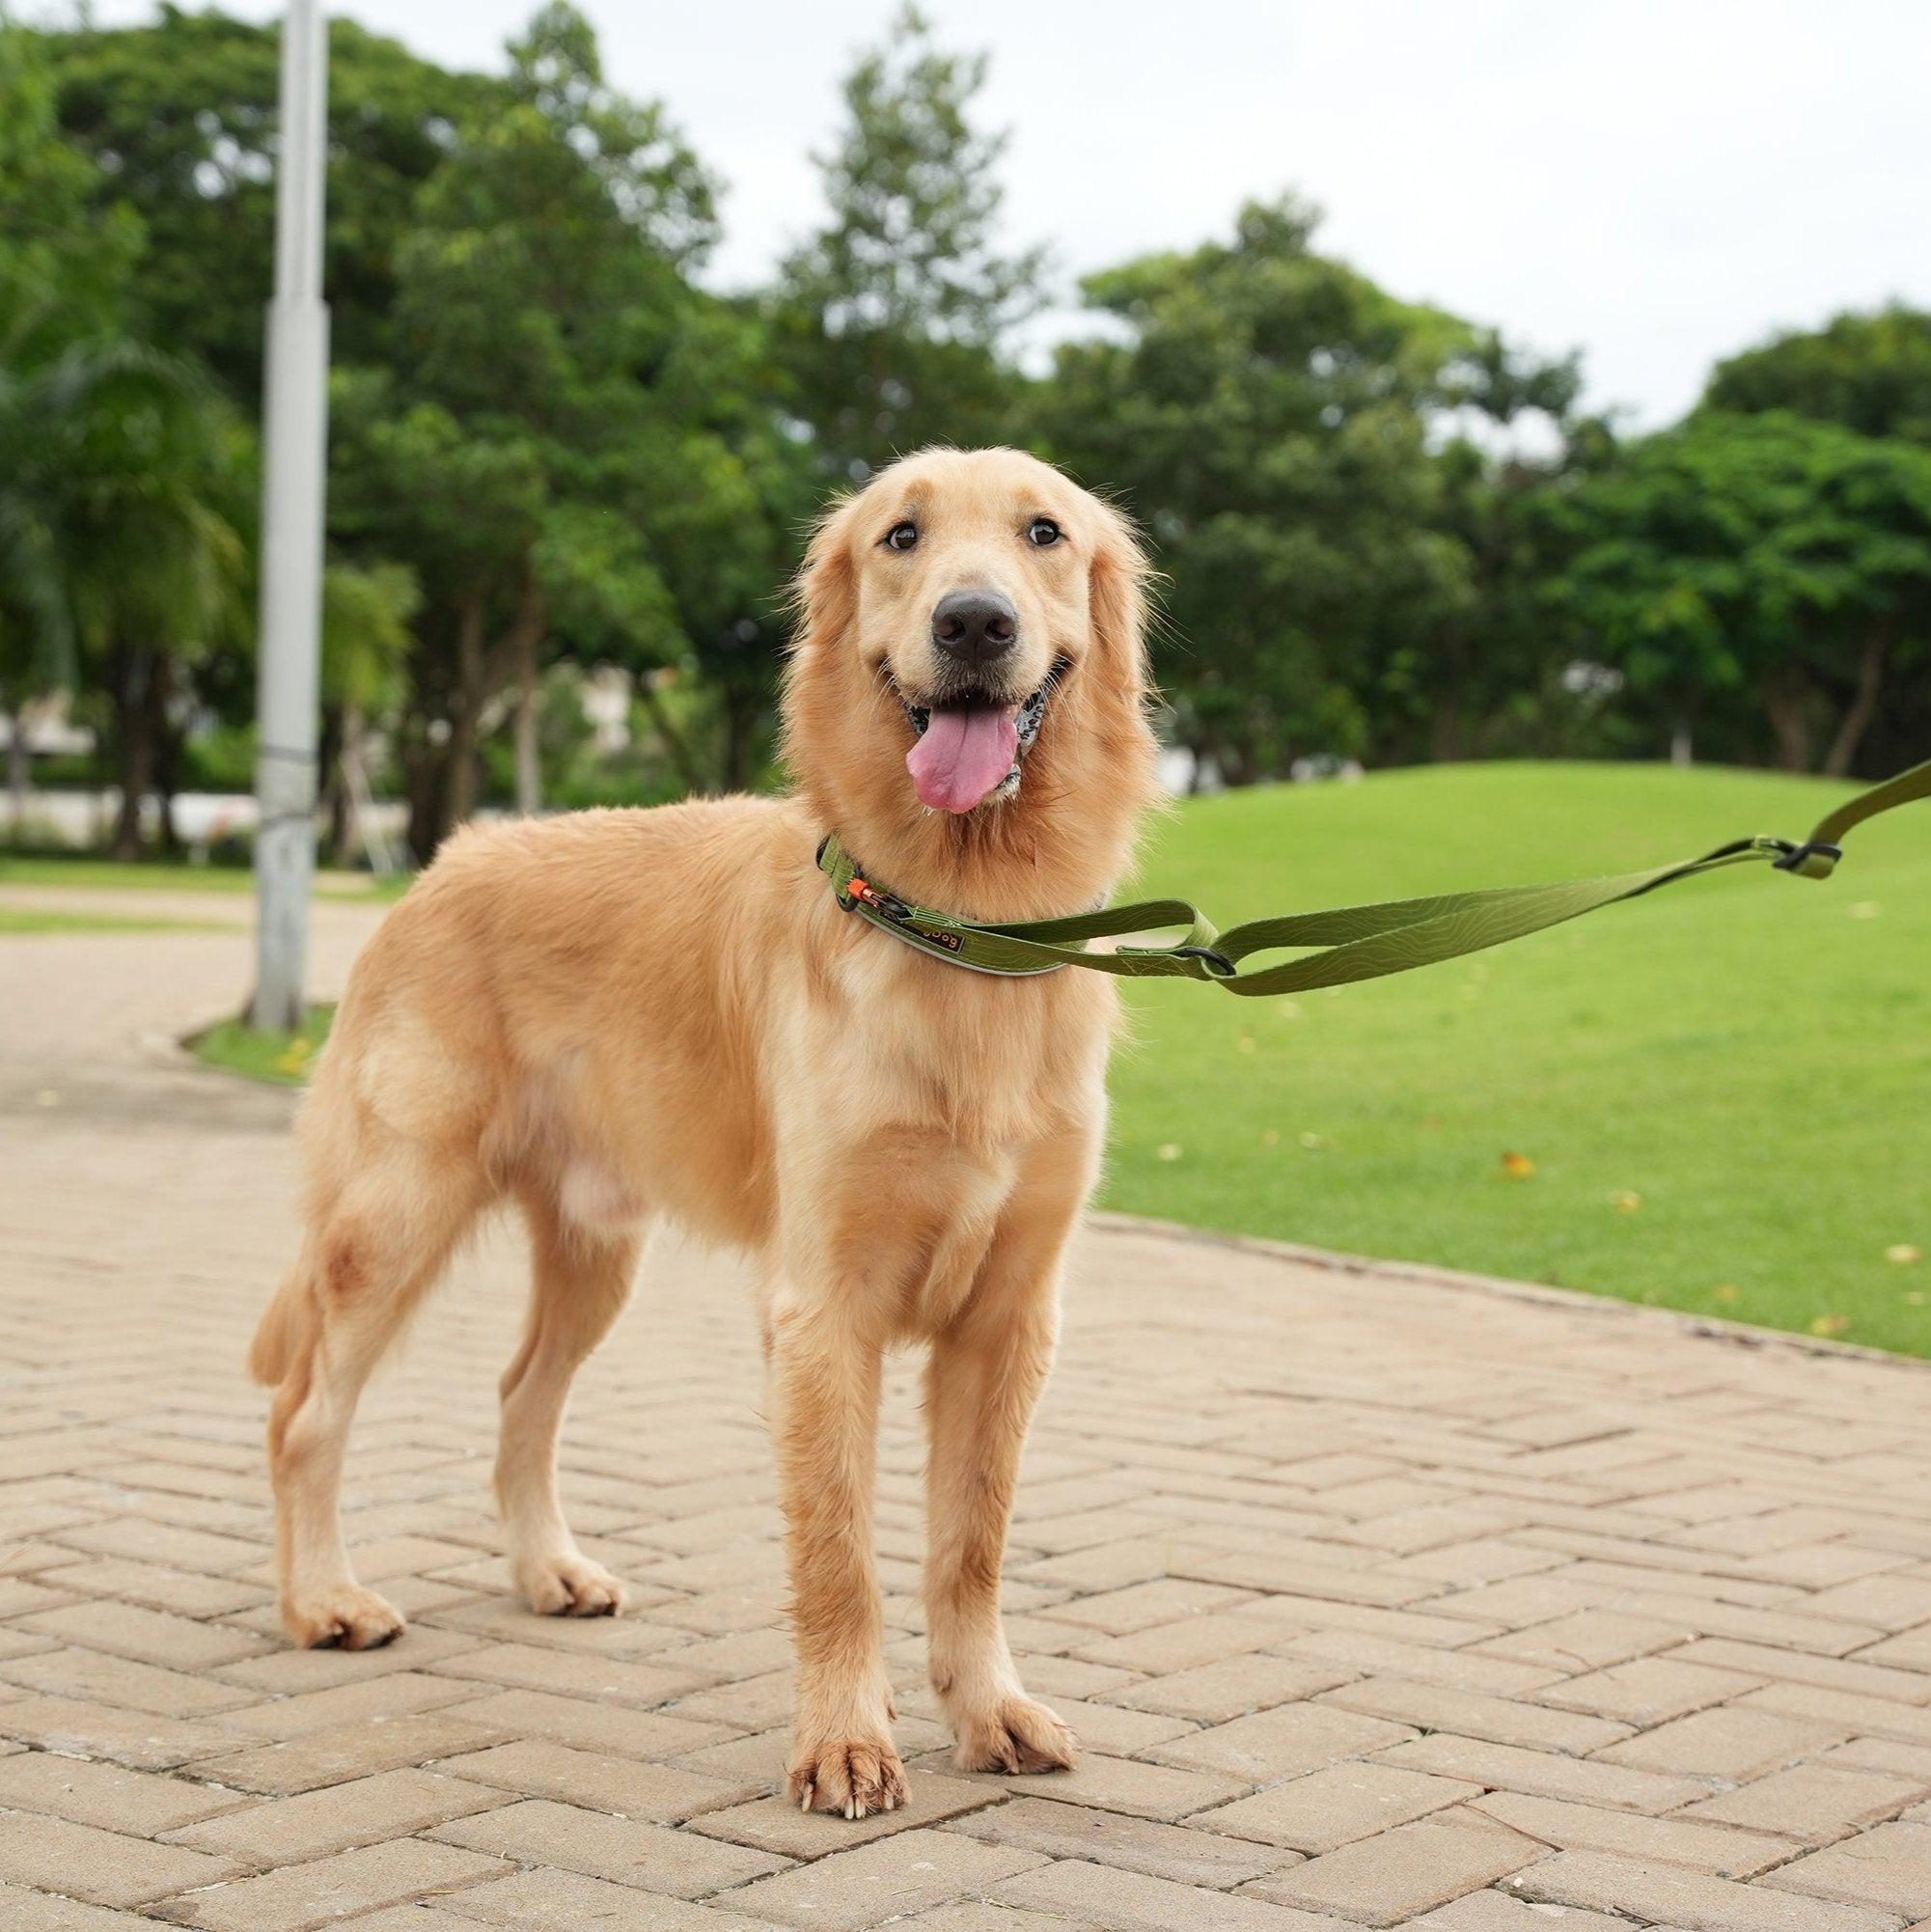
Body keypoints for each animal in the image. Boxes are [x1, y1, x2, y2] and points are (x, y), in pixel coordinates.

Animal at [247, 444, 1150, 1815]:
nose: (974, 623)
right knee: (306, 1415)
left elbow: (971, 1542)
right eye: (902, 537)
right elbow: (841, 1552)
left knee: (520, 1395)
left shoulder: (1009, 1315)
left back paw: (547, 1570)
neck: (958, 925)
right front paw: (845, 1738)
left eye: (1043, 533)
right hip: (394, 1213)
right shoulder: (822, 1305)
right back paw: (323, 1601)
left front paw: (985, 1708)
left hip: (594, 1249)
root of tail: (445, 857)